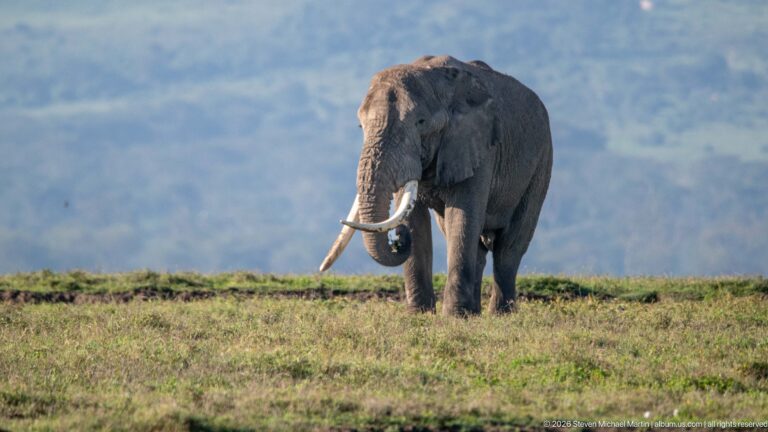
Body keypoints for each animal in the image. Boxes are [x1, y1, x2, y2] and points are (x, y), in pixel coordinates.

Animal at [320, 55, 552, 316]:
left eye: (420, 122)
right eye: (361, 127)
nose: (397, 239)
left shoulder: (478, 147)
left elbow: (462, 216)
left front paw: (454, 317)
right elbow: (415, 217)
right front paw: (419, 314)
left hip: (542, 162)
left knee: (510, 246)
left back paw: (500, 314)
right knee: (477, 247)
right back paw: (475, 313)